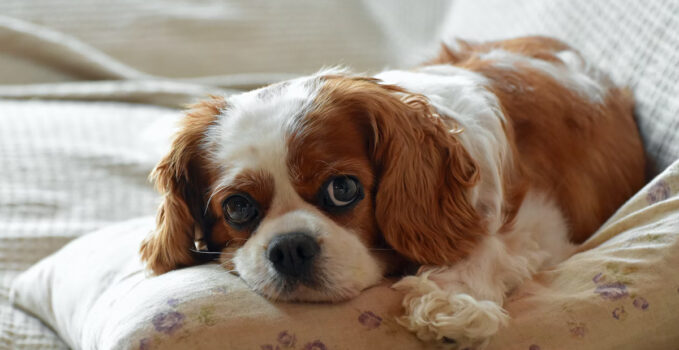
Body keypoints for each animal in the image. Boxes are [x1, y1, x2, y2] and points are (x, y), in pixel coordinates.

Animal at [139, 35, 648, 348]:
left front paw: (453, 301)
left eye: (343, 189)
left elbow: (492, 243)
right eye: (238, 207)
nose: (290, 248)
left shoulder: (545, 220)